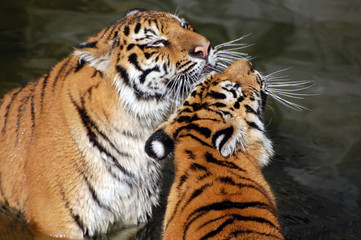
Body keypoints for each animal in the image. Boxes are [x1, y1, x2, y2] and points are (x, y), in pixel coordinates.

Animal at [0, 8, 219, 238]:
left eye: (185, 26)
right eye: (157, 42)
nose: (205, 48)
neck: (136, 132)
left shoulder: (129, 222)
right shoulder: (56, 225)